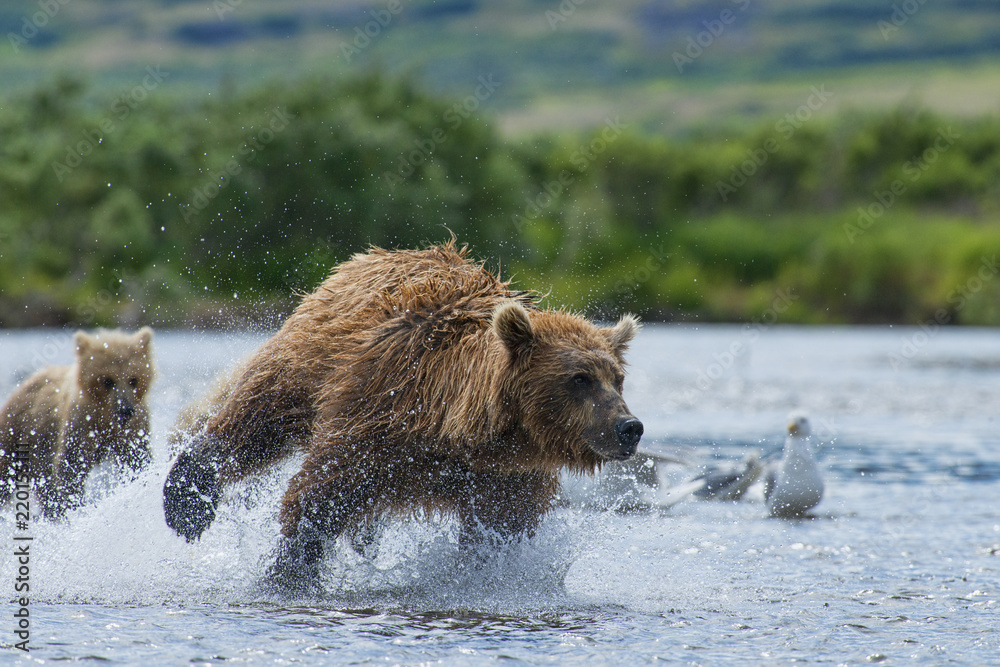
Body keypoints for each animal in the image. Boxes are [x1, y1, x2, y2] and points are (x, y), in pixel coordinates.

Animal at [1, 328, 154, 518]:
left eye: (133, 379)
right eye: (107, 380)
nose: (125, 409)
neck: (105, 419)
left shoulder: (135, 428)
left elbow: (136, 459)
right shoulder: (80, 423)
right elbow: (71, 466)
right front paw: (75, 506)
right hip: (18, 433)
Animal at [163, 240, 642, 587]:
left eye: (617, 378)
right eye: (579, 378)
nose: (629, 427)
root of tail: (368, 257)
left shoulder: (504, 475)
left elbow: (502, 527)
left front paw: (483, 573)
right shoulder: (378, 411)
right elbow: (320, 495)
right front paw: (288, 573)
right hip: (310, 357)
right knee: (257, 418)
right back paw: (188, 499)